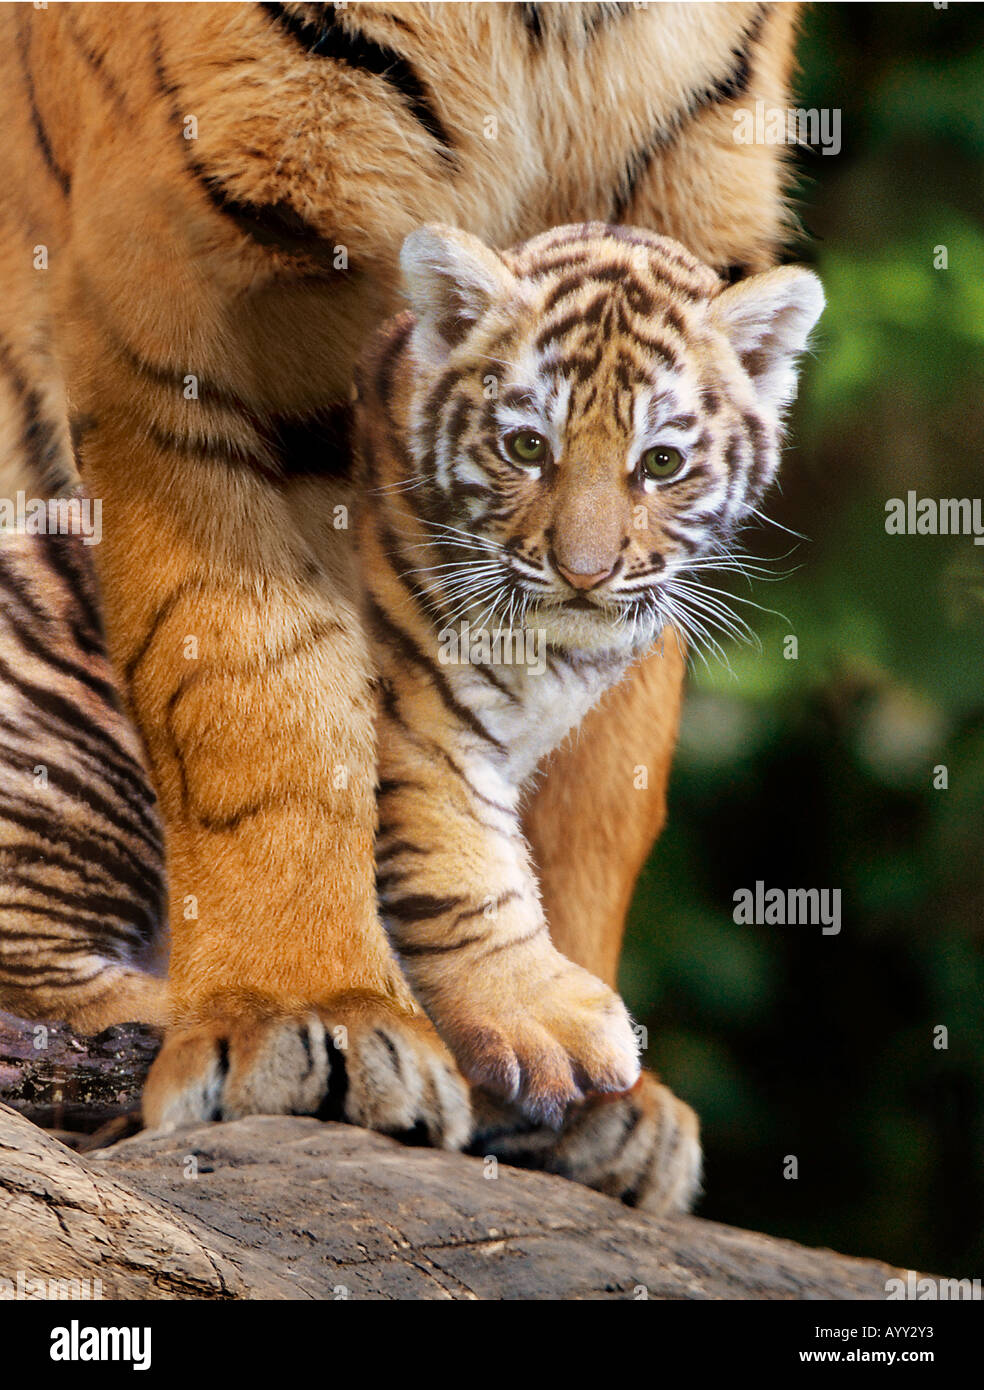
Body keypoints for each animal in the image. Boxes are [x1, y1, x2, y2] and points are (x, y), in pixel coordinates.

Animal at [0, 2, 800, 1206]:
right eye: (524, 447)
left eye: (662, 459)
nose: (584, 565)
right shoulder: (182, 288)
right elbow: (263, 692)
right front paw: (307, 1014)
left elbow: (598, 796)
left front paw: (595, 1095)